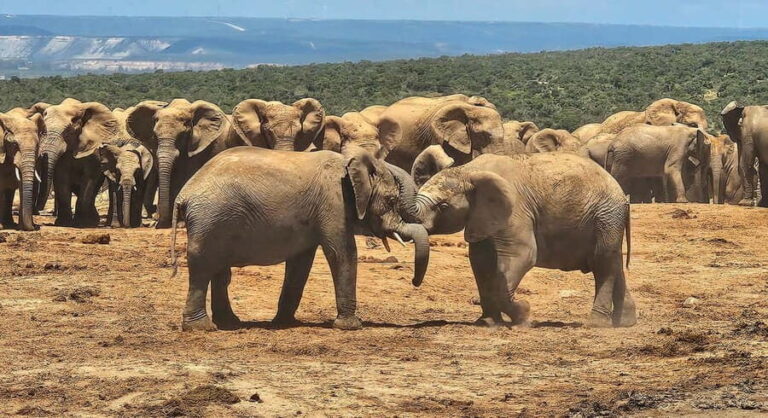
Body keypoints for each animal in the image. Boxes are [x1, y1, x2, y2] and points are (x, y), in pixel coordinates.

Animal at [38, 99, 119, 227]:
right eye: (43, 132)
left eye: (68, 132)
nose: (38, 209)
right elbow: (61, 179)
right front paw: (64, 223)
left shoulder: (93, 152)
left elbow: (89, 179)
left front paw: (81, 223)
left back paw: (92, 221)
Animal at [170, 145, 429, 331]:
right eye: (391, 200)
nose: (414, 282)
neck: (348, 163)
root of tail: (184, 194)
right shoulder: (333, 202)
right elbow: (342, 253)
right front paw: (352, 326)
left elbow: (301, 263)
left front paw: (284, 323)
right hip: (209, 218)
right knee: (203, 267)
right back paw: (201, 328)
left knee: (220, 271)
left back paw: (230, 323)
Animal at [413, 152, 636, 328]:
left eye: (443, 206)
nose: (415, 282)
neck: (468, 170)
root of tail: (623, 196)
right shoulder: (481, 218)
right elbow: (480, 262)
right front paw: (488, 322)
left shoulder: (515, 210)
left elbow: (522, 255)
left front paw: (524, 315)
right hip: (608, 218)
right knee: (613, 261)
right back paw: (625, 322)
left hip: (606, 215)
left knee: (603, 263)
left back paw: (596, 324)